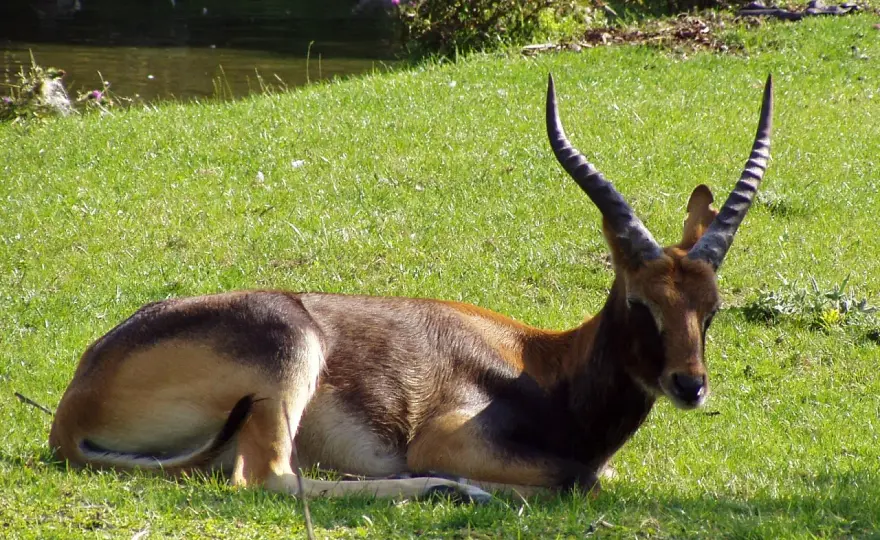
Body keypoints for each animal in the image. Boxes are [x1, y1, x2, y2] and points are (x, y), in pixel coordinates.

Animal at [49, 74, 773, 503]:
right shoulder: (447, 437)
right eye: (642, 301)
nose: (690, 385)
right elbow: (580, 477)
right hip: (288, 352)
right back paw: (449, 491)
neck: (545, 367)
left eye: (710, 309)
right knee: (266, 478)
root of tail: (75, 402)